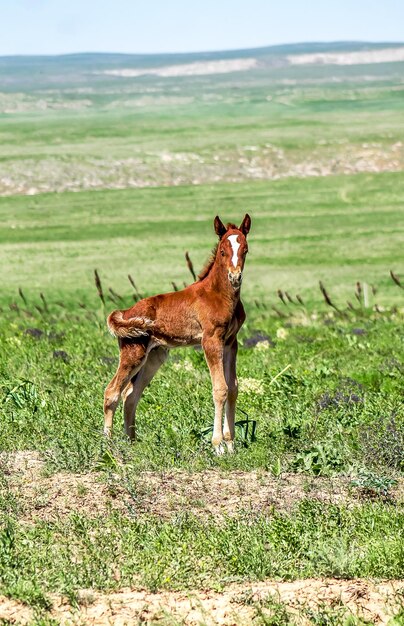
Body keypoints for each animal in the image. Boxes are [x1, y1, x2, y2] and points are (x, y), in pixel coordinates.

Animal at [102, 212, 251, 450]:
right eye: (222, 251)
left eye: (245, 249)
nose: (235, 277)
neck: (219, 294)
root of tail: (125, 312)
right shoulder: (211, 340)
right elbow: (220, 389)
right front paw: (217, 445)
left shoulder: (230, 342)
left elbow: (233, 388)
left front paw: (230, 445)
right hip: (133, 353)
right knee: (112, 392)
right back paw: (108, 446)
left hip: (154, 356)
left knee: (131, 395)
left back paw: (132, 443)